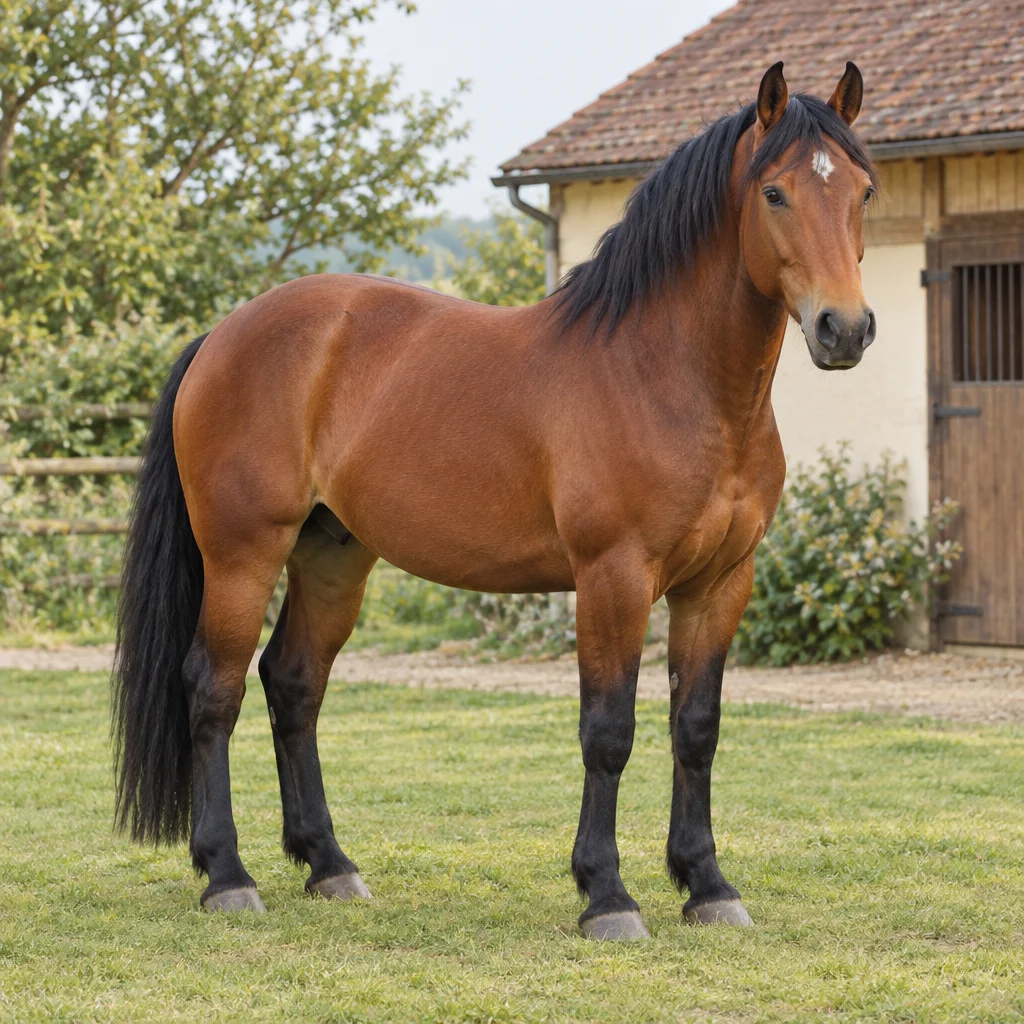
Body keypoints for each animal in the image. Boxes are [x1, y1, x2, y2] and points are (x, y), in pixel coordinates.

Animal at [112, 61, 878, 940]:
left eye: (863, 189)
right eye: (775, 192)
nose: (845, 329)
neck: (669, 377)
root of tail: (223, 334)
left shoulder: (720, 583)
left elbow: (697, 728)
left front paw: (708, 885)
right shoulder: (613, 579)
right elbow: (608, 731)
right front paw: (607, 895)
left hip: (333, 555)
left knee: (294, 683)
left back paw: (329, 865)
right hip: (242, 552)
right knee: (214, 687)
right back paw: (227, 876)